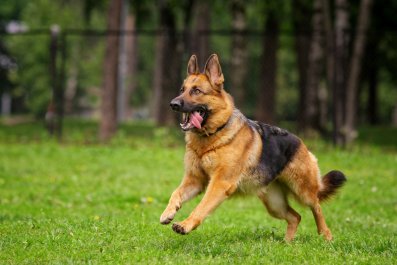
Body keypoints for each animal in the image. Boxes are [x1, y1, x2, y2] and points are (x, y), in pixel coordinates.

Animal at [159, 54, 344, 241]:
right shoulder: (194, 180)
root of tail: (301, 143)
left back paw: (326, 236)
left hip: (303, 191)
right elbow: (175, 193)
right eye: (182, 89)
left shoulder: (220, 183)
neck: (212, 136)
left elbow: (201, 207)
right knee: (295, 217)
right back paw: (287, 243)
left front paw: (186, 224)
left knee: (317, 208)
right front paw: (168, 212)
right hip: (274, 203)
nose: (173, 104)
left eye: (196, 91)